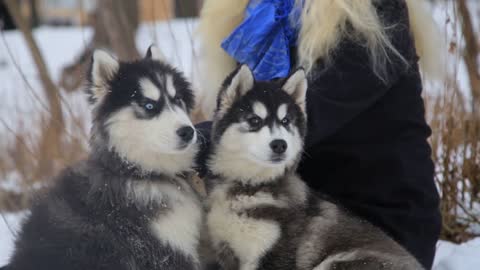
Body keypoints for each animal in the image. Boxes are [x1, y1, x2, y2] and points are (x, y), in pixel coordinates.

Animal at [206, 65, 424, 270]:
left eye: (286, 121)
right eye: (254, 120)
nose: (280, 145)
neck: (250, 186)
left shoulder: (274, 254)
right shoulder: (225, 251)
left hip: (337, 262)